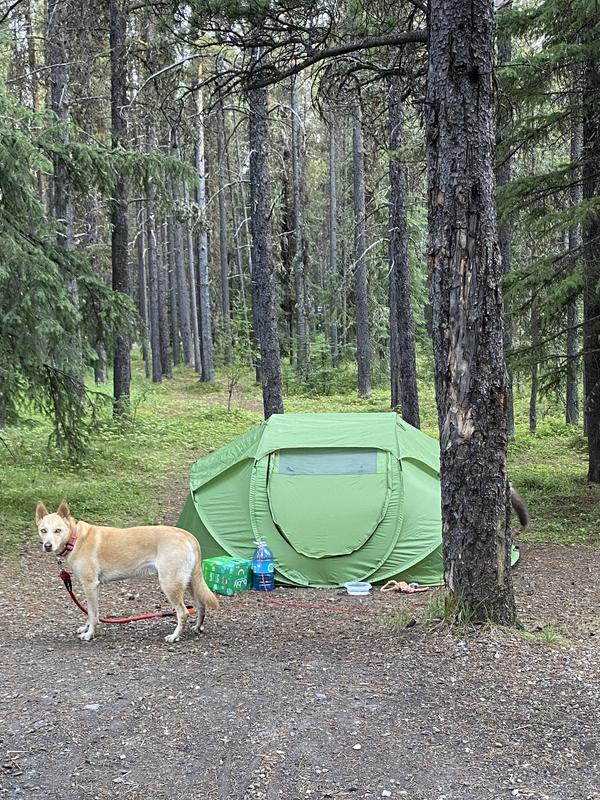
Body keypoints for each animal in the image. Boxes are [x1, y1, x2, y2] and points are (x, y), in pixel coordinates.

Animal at [35, 500, 219, 644]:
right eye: (43, 530)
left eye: (58, 530)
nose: (47, 546)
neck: (75, 538)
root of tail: (188, 535)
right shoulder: (93, 588)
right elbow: (90, 612)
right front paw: (86, 628)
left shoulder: (90, 585)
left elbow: (92, 614)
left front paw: (90, 634)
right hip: (189, 582)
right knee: (201, 606)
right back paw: (197, 627)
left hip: (170, 584)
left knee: (183, 613)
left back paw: (174, 636)